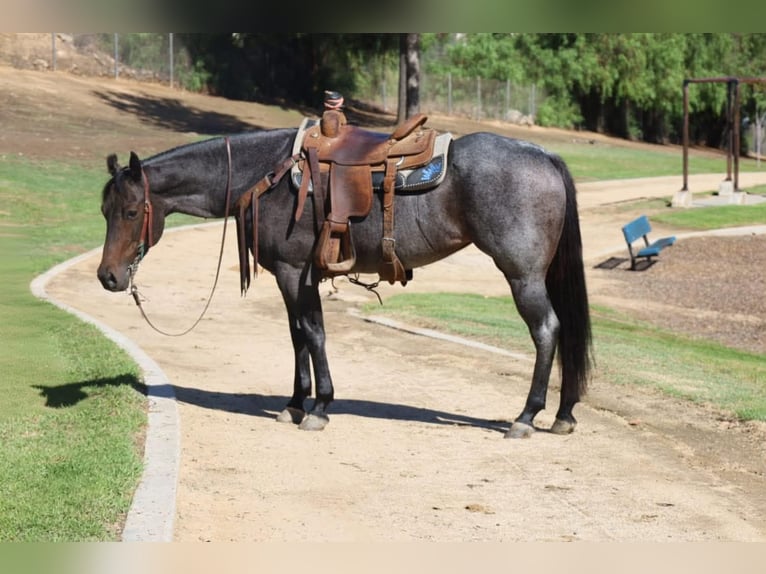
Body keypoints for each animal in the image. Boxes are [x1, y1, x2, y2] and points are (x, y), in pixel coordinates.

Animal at [97, 127, 592, 439]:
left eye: (130, 211)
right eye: (104, 211)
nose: (108, 277)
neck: (266, 174)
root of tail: (543, 155)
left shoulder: (294, 272)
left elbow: (312, 333)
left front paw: (319, 407)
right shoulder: (296, 277)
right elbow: (297, 336)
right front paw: (296, 403)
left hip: (522, 276)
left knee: (546, 330)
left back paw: (527, 415)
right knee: (565, 330)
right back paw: (565, 413)